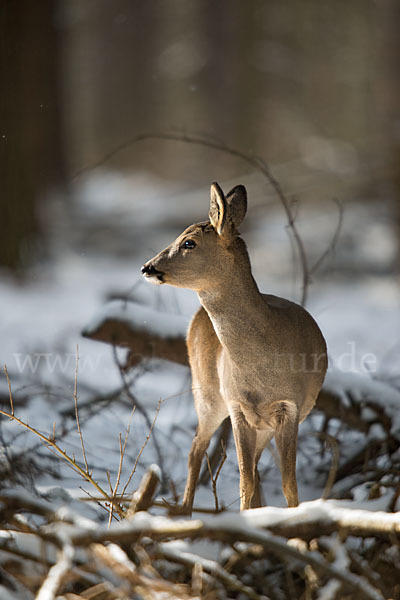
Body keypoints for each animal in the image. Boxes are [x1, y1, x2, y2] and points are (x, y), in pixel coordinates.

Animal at [142, 183, 326, 510]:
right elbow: (244, 481)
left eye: (188, 243)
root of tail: (196, 317)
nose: (147, 267)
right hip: (207, 392)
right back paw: (185, 510)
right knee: (196, 449)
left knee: (250, 464)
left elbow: (287, 483)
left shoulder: (290, 408)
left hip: (258, 421)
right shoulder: (237, 406)